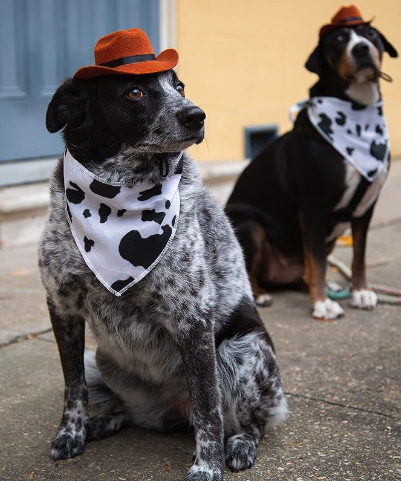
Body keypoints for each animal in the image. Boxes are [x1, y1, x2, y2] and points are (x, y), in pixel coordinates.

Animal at [39, 28, 286, 478]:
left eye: (179, 87)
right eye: (135, 91)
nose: (197, 115)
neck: (117, 195)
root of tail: (171, 409)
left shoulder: (193, 317)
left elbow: (208, 408)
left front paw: (207, 466)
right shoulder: (61, 306)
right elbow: (72, 388)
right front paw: (72, 433)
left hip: (240, 352)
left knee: (249, 419)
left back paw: (240, 444)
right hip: (102, 359)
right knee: (134, 413)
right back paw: (105, 421)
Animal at [225, 6, 396, 318]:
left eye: (371, 34)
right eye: (338, 39)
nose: (362, 49)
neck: (358, 111)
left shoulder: (366, 207)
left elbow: (358, 256)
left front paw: (360, 292)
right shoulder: (313, 207)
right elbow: (316, 259)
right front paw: (322, 305)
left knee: (306, 269)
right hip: (250, 225)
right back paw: (261, 294)